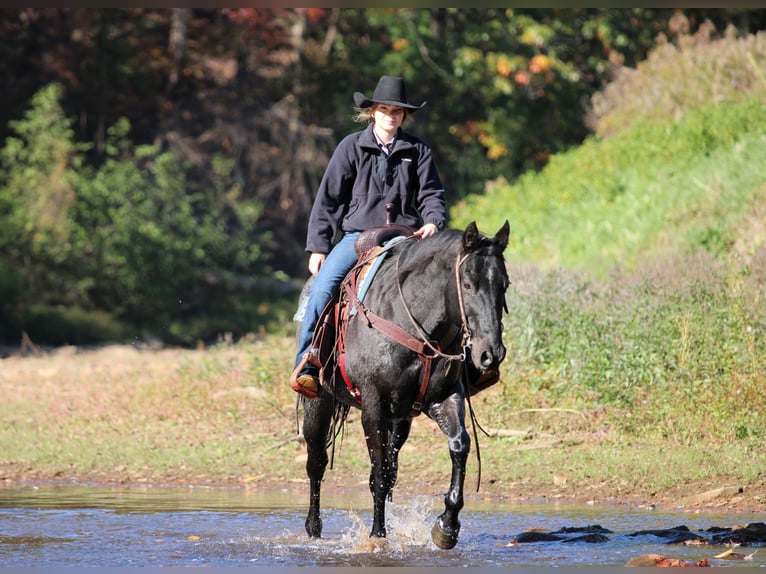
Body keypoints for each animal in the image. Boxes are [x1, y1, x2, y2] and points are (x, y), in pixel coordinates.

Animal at [295, 220, 510, 549]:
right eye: (467, 285)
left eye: (504, 285)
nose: (491, 354)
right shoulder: (373, 406)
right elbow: (379, 475)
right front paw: (377, 536)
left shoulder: (444, 397)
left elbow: (459, 445)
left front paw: (446, 527)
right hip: (318, 404)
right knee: (316, 462)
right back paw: (313, 528)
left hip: (401, 420)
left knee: (390, 468)